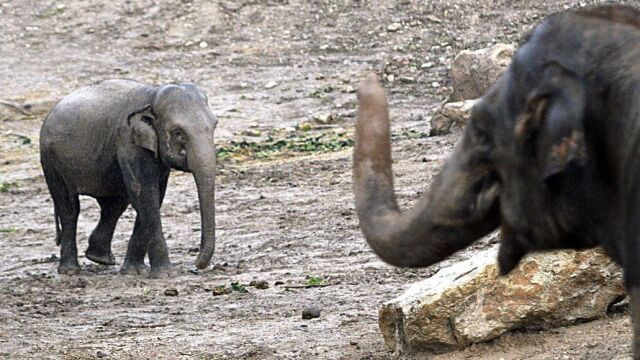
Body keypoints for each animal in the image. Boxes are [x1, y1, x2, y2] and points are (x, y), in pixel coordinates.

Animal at [42, 79, 220, 276]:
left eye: (215, 125)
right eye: (178, 132)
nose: (196, 262)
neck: (152, 95)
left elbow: (154, 196)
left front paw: (135, 271)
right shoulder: (128, 142)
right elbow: (145, 194)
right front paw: (165, 274)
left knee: (114, 205)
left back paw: (100, 259)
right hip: (51, 161)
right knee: (69, 207)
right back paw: (70, 270)